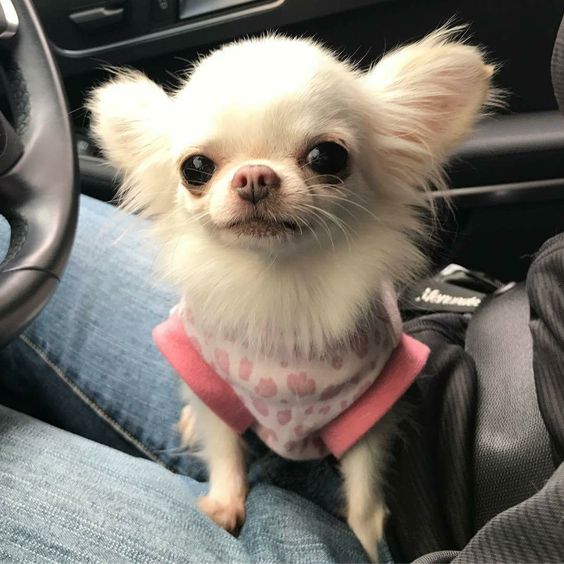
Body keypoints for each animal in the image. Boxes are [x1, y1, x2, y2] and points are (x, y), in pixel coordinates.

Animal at [89, 28, 494, 560]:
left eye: (327, 157)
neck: (279, 283)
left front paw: (369, 543)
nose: (254, 175)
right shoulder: (209, 377)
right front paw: (224, 503)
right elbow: (224, 446)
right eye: (195, 168)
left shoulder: (370, 407)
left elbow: (365, 489)